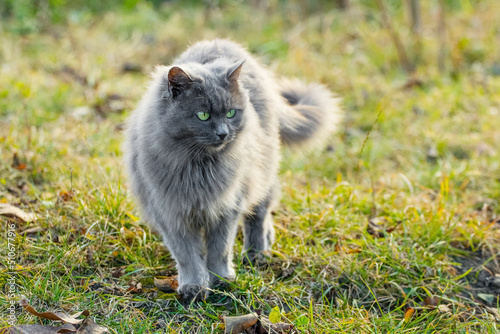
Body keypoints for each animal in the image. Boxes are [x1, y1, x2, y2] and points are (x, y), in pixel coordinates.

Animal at [124, 38, 342, 300]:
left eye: (230, 113)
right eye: (203, 115)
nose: (223, 133)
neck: (199, 167)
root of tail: (221, 42)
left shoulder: (227, 207)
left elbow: (220, 248)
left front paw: (221, 280)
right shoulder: (171, 213)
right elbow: (187, 255)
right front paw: (195, 287)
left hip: (261, 168)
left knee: (260, 211)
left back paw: (257, 252)